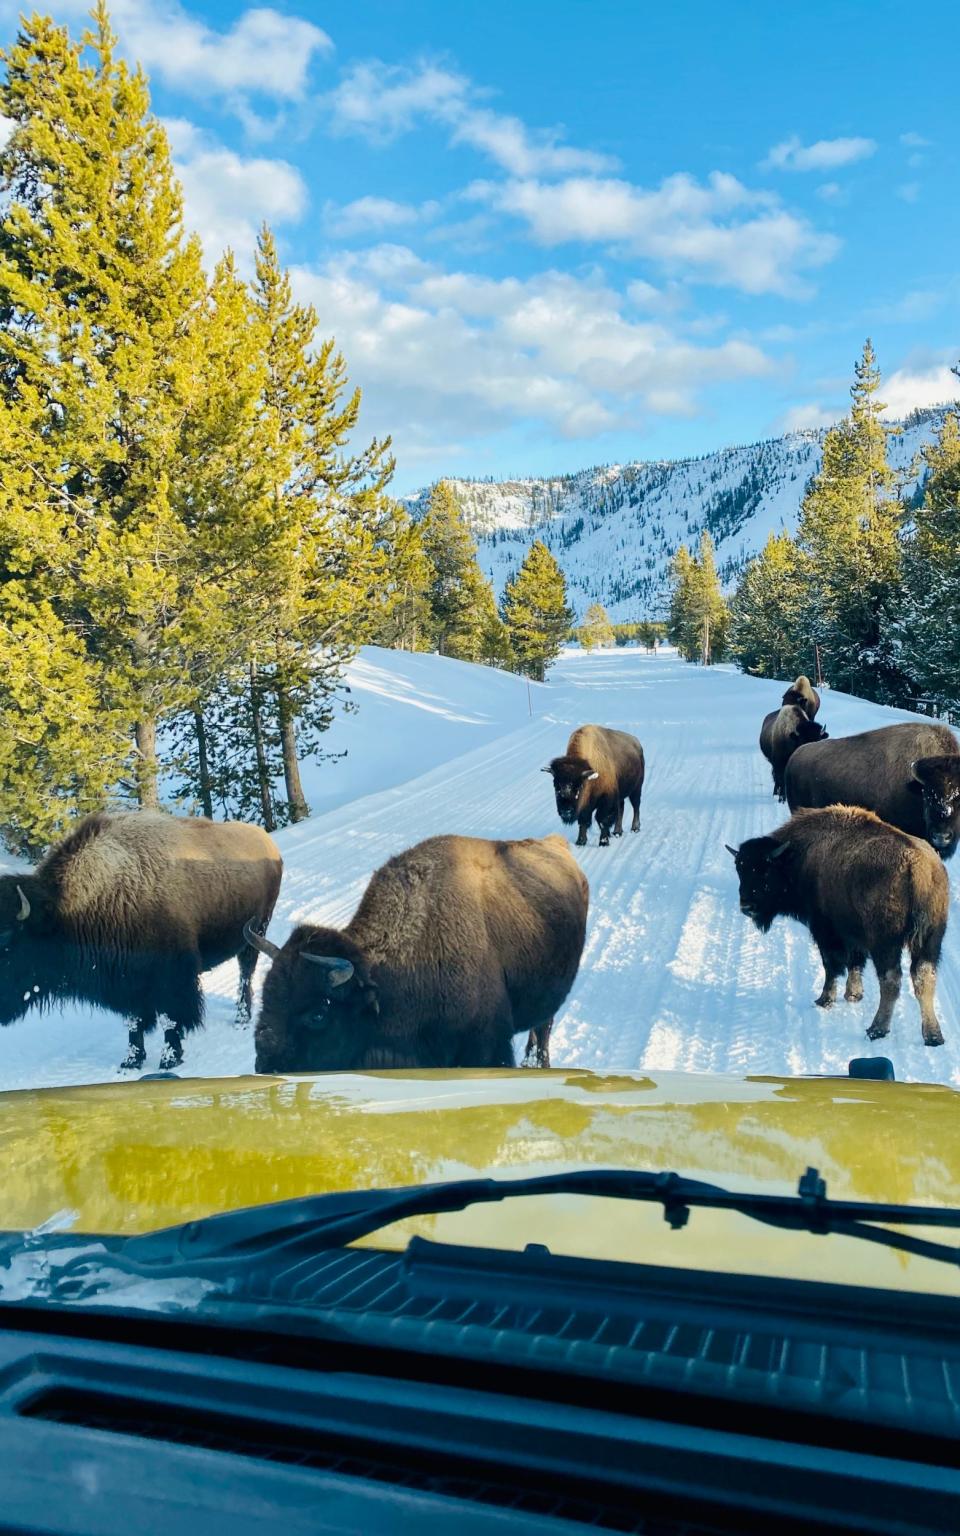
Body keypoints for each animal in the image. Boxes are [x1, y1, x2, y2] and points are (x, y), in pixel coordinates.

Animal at [0, 811, 284, 1075]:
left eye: (7, 936)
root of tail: (266, 842)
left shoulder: (173, 980)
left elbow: (171, 1019)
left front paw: (169, 1060)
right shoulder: (128, 982)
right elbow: (134, 1022)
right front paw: (131, 1062)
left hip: (255, 932)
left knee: (246, 972)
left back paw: (242, 1019)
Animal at [731, 804, 946, 1044]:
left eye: (765, 871)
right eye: (739, 868)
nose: (746, 905)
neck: (797, 856)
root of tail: (916, 866)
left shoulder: (825, 932)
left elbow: (831, 966)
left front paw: (824, 999)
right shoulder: (853, 936)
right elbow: (854, 963)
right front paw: (853, 995)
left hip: (885, 943)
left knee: (891, 980)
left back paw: (876, 1029)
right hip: (930, 939)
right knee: (924, 977)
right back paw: (933, 1036)